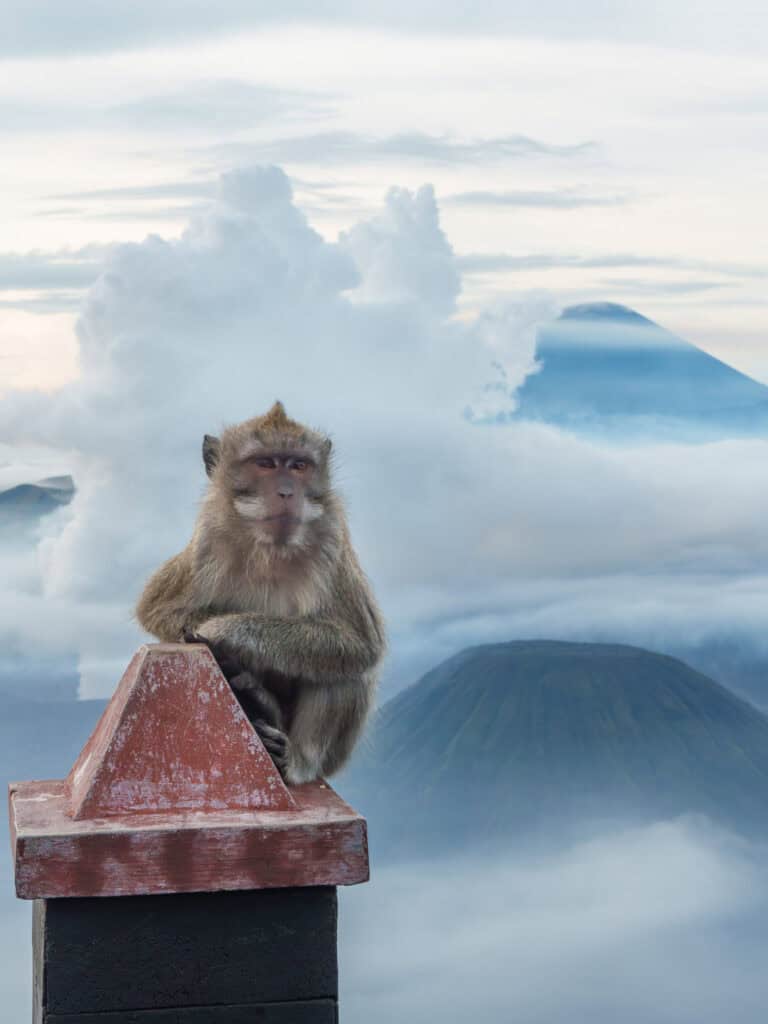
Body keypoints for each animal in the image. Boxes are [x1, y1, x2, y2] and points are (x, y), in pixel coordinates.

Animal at [135, 401, 386, 785]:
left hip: (333, 755)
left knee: (346, 671)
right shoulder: (207, 541)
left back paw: (297, 759)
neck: (272, 548)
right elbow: (157, 609)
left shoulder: (333, 540)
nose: (286, 492)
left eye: (298, 466)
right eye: (265, 463)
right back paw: (258, 696)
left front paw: (223, 631)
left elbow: (359, 640)